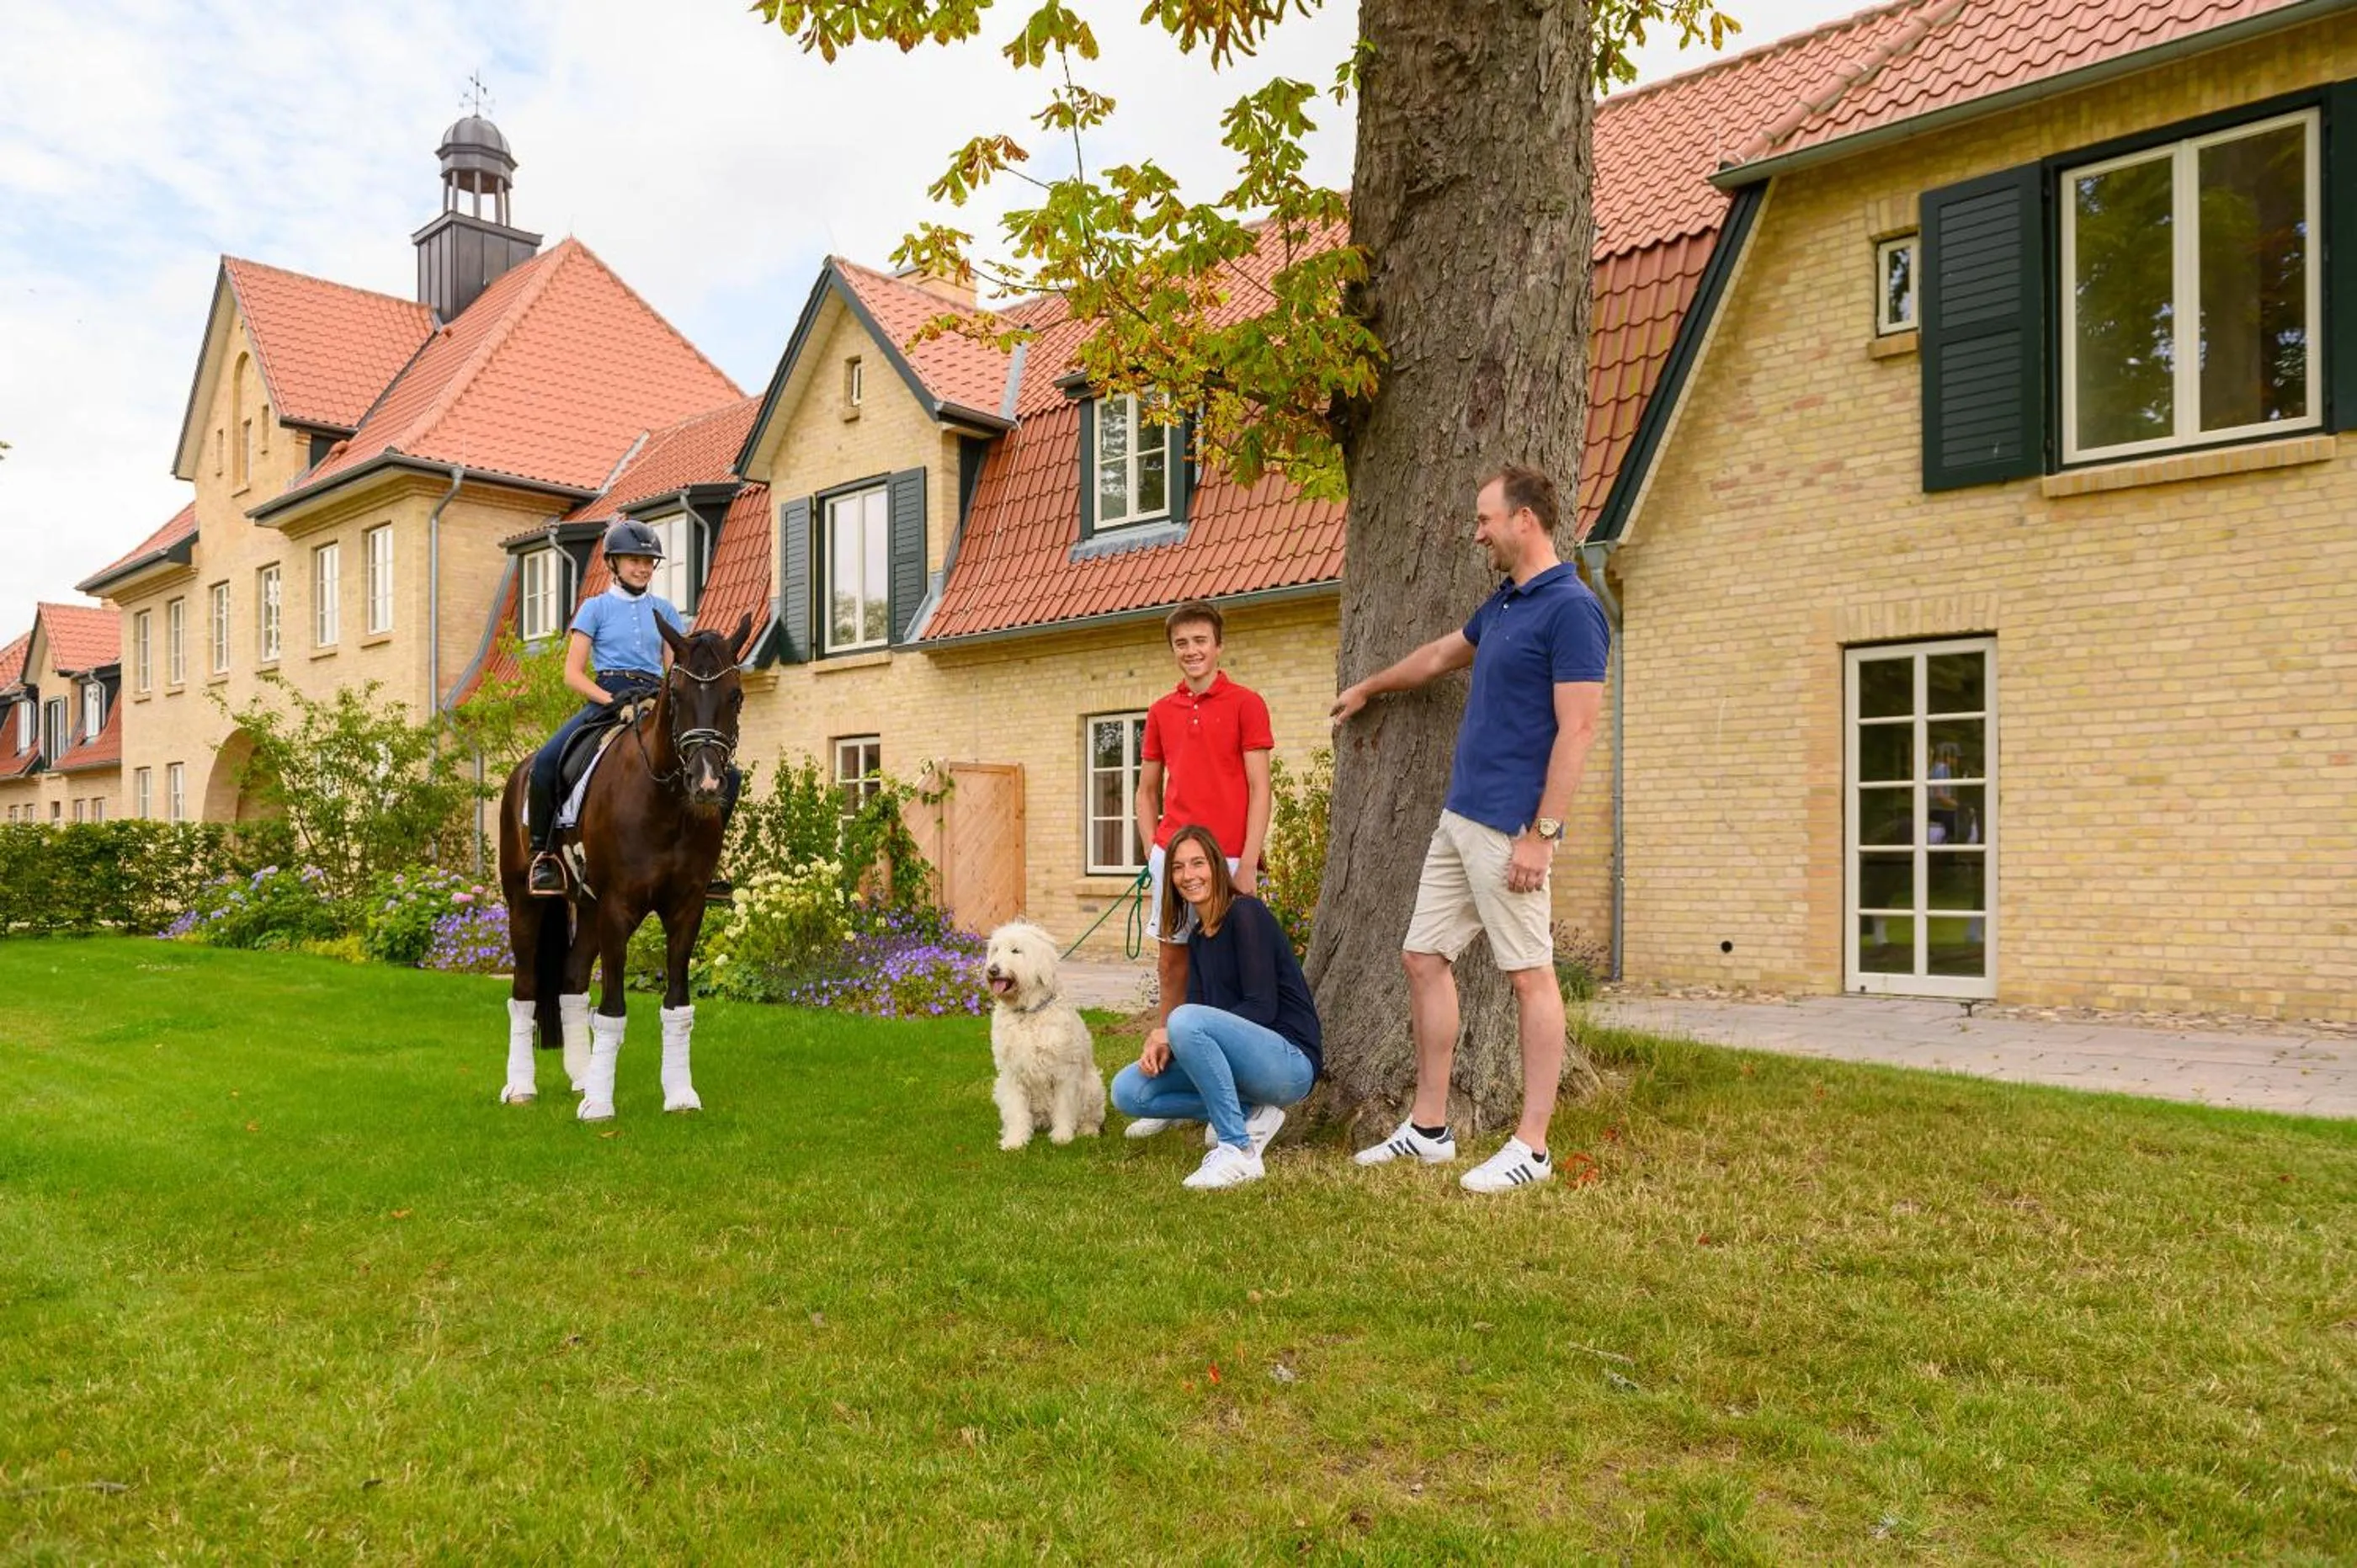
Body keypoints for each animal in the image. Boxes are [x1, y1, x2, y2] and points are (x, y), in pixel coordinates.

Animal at [494, 612, 754, 1119]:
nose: (707, 782)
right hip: (525, 904)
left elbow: (677, 1007)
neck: (665, 805)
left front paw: (679, 1094)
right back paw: (521, 1087)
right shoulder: (619, 907)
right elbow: (612, 1009)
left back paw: (580, 1076)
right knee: (525, 990)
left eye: (735, 695)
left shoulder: (686, 909)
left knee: (571, 982)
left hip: (589, 907)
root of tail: (520, 771)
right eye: (677, 695)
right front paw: (600, 1104)